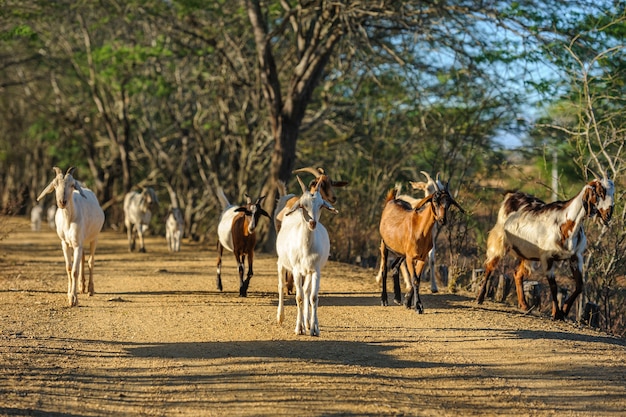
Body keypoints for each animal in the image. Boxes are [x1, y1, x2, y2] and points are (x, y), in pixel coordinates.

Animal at [36, 166, 104, 306]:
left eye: (72, 185)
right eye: (55, 184)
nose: (62, 202)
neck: (68, 219)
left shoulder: (77, 244)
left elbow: (75, 271)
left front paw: (73, 299)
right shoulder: (65, 243)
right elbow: (69, 268)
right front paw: (69, 294)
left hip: (94, 237)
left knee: (91, 261)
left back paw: (90, 289)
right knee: (83, 259)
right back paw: (81, 287)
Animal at [276, 176, 336, 334]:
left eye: (321, 205)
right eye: (303, 205)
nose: (312, 223)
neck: (306, 248)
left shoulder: (315, 271)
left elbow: (313, 297)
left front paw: (314, 328)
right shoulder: (296, 271)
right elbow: (299, 297)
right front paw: (299, 328)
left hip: (308, 272)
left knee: (307, 291)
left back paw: (308, 322)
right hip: (281, 263)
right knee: (281, 286)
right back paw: (280, 317)